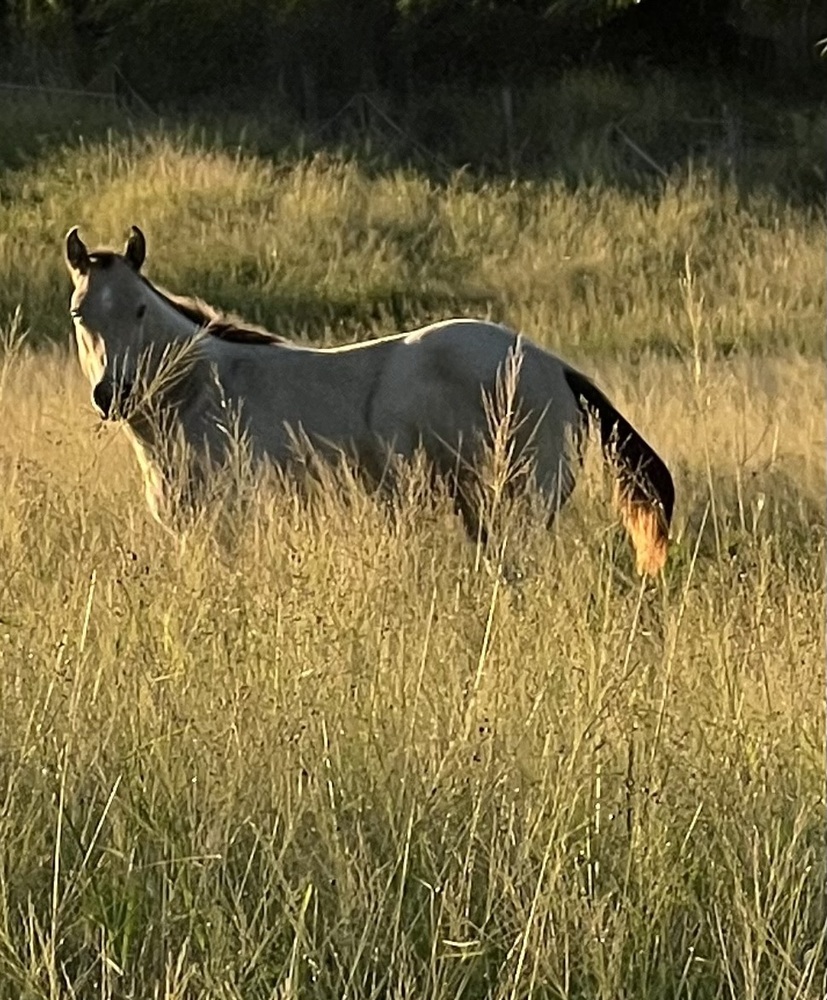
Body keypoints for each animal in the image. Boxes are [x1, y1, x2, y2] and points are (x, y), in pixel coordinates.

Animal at [64, 225, 675, 575]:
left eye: (140, 309)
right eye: (79, 313)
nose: (113, 394)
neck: (201, 391)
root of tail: (555, 367)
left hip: (523, 503)